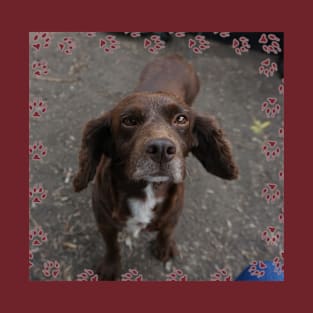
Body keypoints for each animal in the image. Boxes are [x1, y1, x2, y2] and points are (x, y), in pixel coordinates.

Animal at [73, 54, 239, 280]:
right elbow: (112, 245)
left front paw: (163, 247)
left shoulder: (173, 217)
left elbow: (166, 232)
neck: (147, 188)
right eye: (129, 121)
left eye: (181, 119)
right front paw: (110, 266)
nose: (162, 149)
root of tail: (175, 56)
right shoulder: (104, 221)